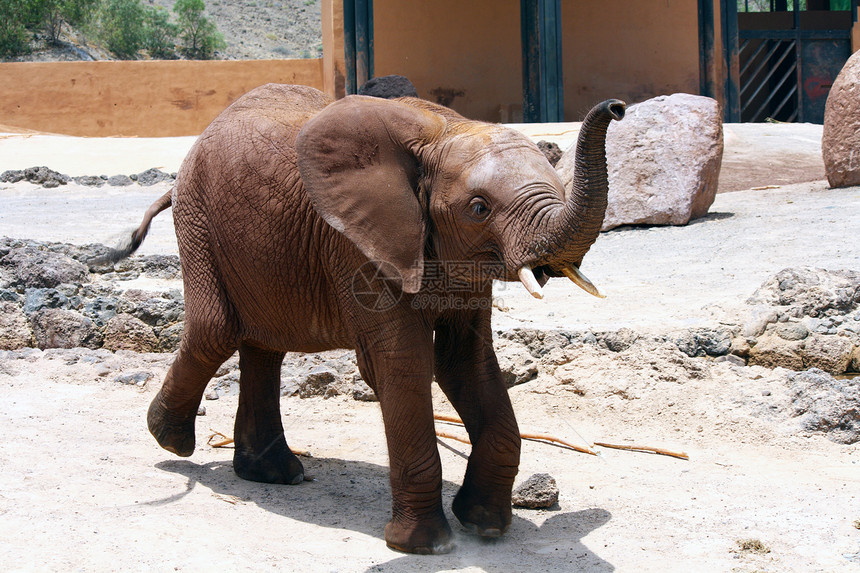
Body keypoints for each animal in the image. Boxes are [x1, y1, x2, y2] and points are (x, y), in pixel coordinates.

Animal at [109, 82, 624, 552]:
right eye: (479, 208)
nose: (616, 106)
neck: (445, 130)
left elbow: (466, 362)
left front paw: (486, 527)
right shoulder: (356, 245)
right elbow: (402, 363)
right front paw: (423, 545)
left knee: (264, 345)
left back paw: (272, 475)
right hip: (199, 223)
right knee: (215, 331)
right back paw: (171, 442)